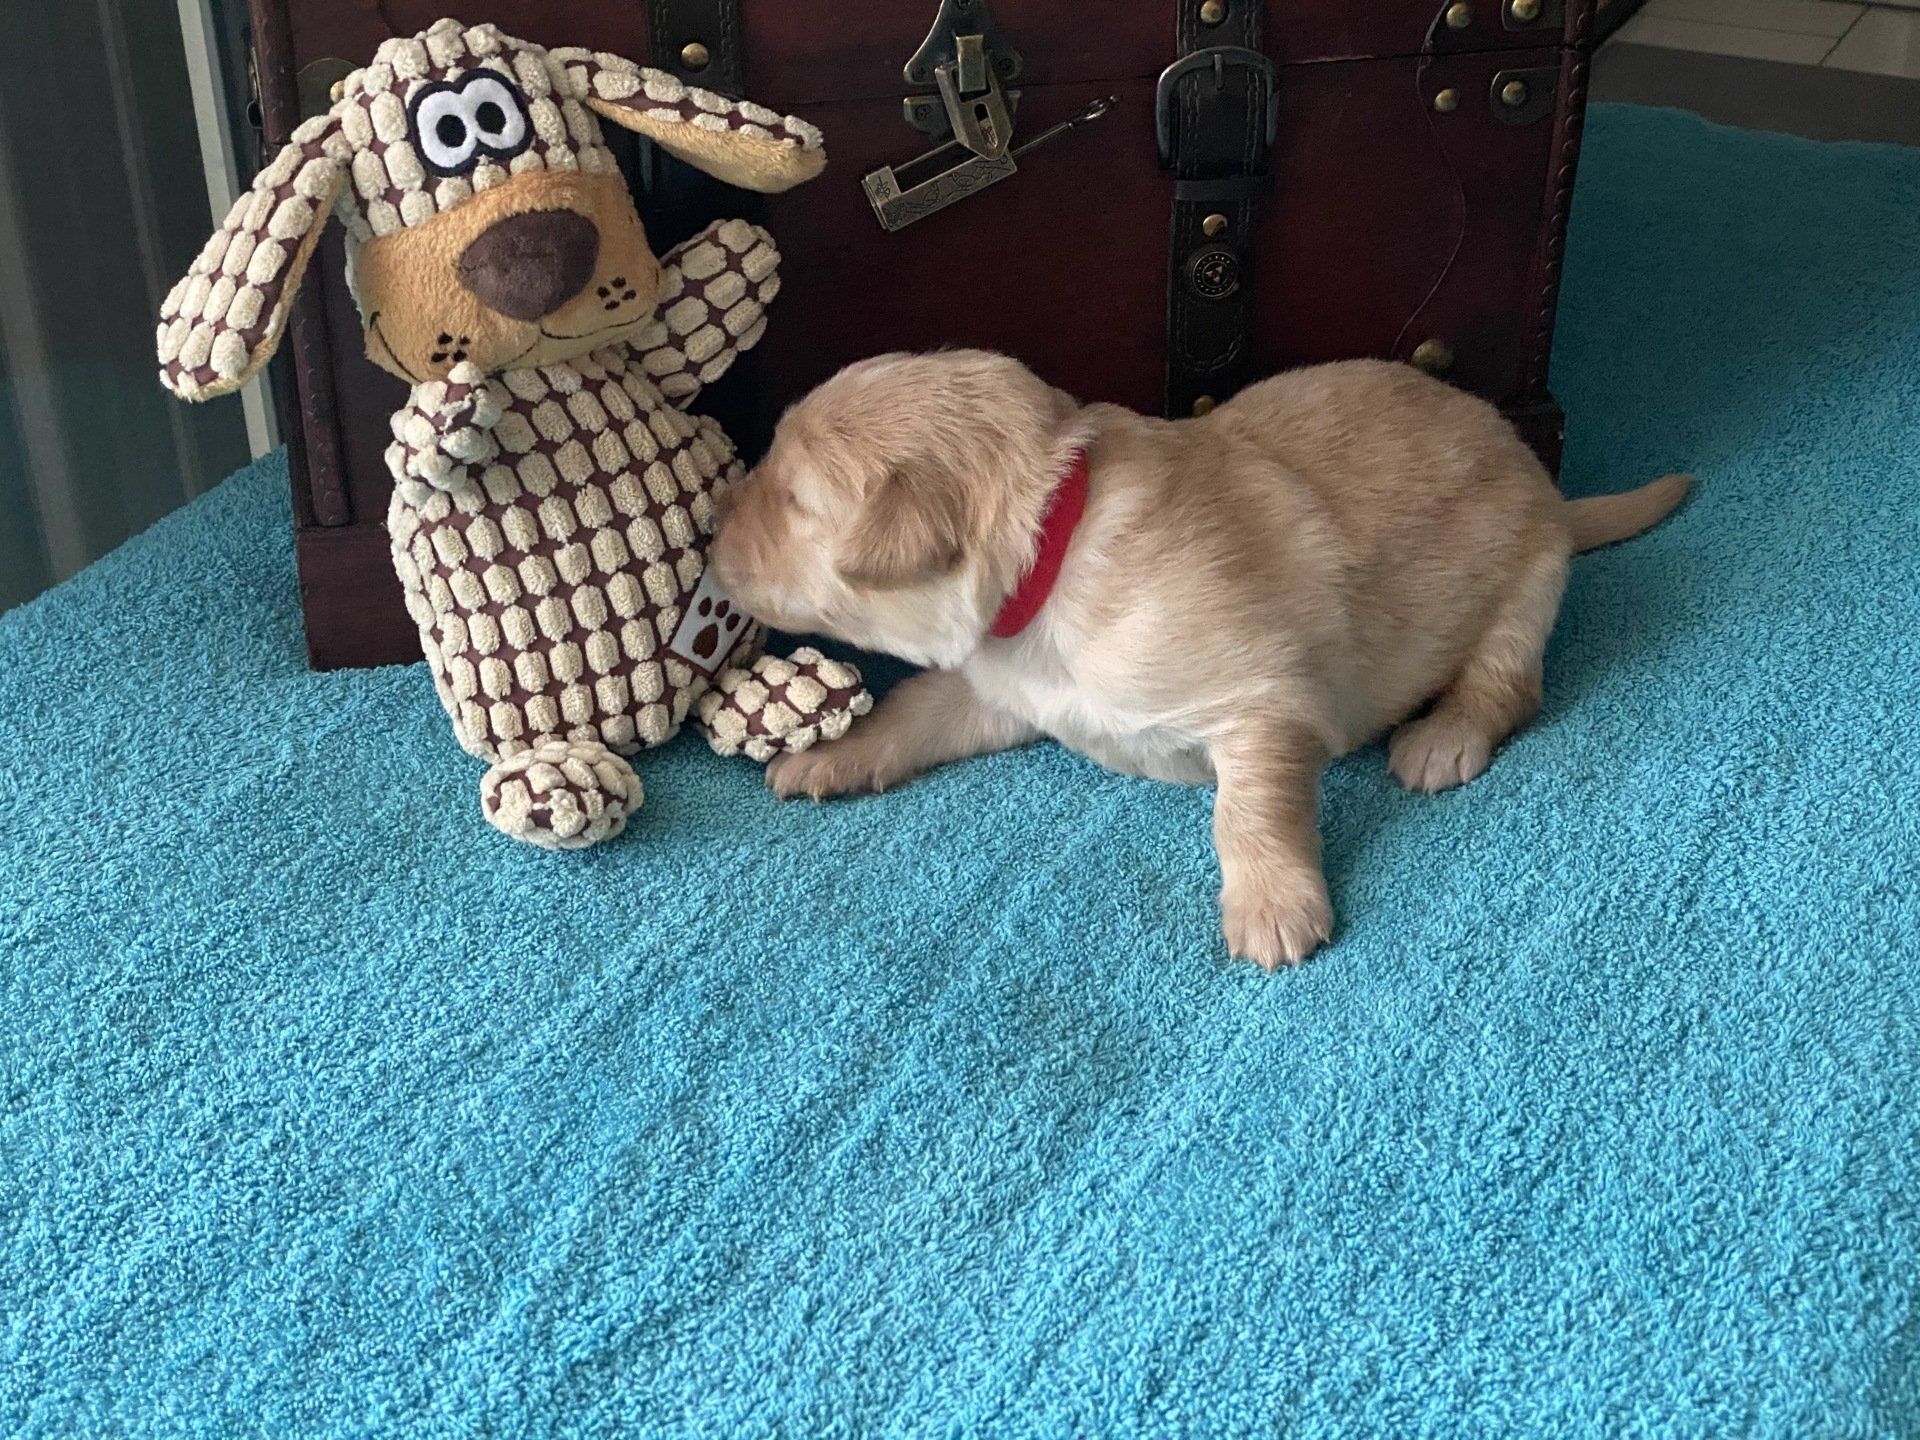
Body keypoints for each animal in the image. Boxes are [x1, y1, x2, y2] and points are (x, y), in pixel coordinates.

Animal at [709, 350, 1688, 966]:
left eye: (794, 501)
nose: (712, 530)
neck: (1054, 554)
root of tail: (1552, 494)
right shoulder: (1002, 686)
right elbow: (914, 710)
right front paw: (832, 755)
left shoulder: (1264, 699)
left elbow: (1245, 810)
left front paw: (1273, 904)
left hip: (1527, 590)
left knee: (1506, 685)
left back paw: (1444, 736)